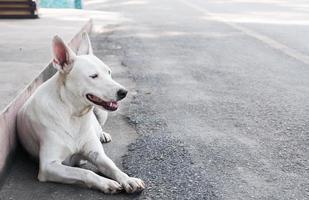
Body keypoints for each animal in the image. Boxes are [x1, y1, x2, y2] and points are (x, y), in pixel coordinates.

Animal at [17, 32, 145, 194]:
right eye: (94, 76)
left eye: (109, 72)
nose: (124, 92)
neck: (73, 114)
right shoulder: (49, 166)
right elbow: (85, 172)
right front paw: (107, 183)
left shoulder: (97, 155)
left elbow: (113, 167)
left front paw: (128, 179)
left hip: (101, 114)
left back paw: (103, 135)